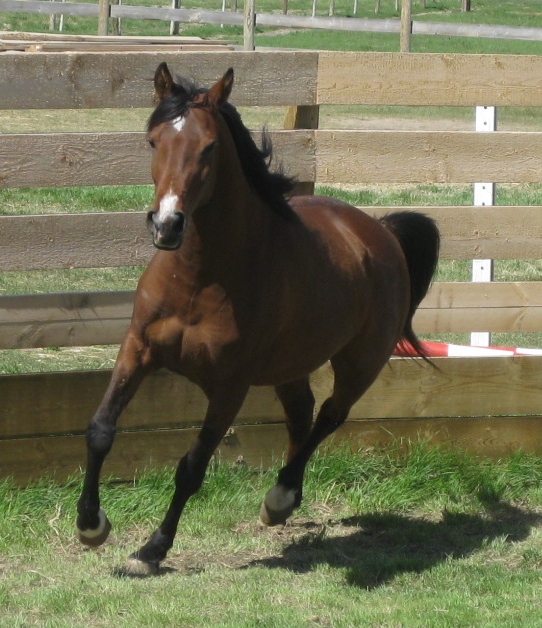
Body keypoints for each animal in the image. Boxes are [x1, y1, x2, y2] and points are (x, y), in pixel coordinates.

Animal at [76, 62, 442, 576]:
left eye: (209, 147)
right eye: (152, 141)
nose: (167, 224)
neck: (200, 279)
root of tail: (380, 232)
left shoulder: (230, 386)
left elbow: (191, 468)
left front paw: (151, 551)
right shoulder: (138, 349)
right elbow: (100, 431)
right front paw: (91, 526)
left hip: (361, 362)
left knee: (329, 416)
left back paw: (280, 496)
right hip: (291, 365)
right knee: (302, 414)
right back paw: (283, 502)